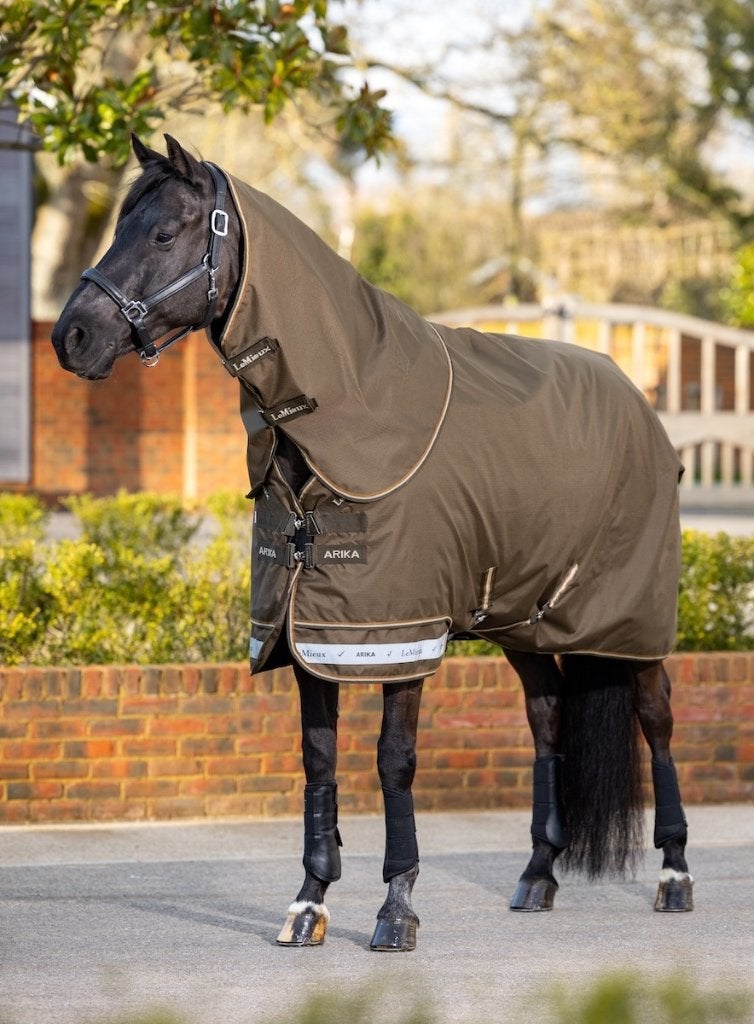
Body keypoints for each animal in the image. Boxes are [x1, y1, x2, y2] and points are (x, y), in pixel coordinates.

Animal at [52, 134, 693, 952]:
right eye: (119, 228)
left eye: (164, 233)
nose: (70, 337)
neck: (349, 414)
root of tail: (637, 401)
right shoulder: (304, 631)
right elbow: (319, 759)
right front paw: (309, 902)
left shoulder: (398, 634)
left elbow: (394, 763)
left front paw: (396, 908)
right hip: (524, 616)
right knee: (547, 715)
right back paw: (537, 876)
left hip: (628, 621)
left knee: (656, 719)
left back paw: (674, 875)